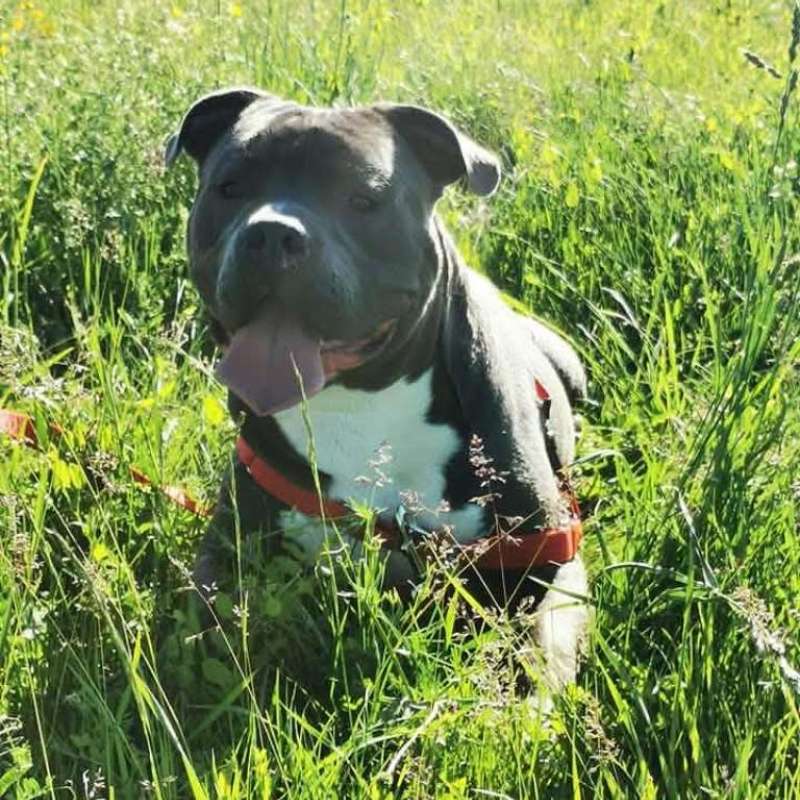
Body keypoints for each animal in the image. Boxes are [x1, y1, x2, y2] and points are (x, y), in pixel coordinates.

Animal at [165, 88, 589, 688]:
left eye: (362, 198)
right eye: (229, 188)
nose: (271, 233)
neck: (359, 404)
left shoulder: (547, 560)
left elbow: (538, 654)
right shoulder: (232, 544)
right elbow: (203, 634)